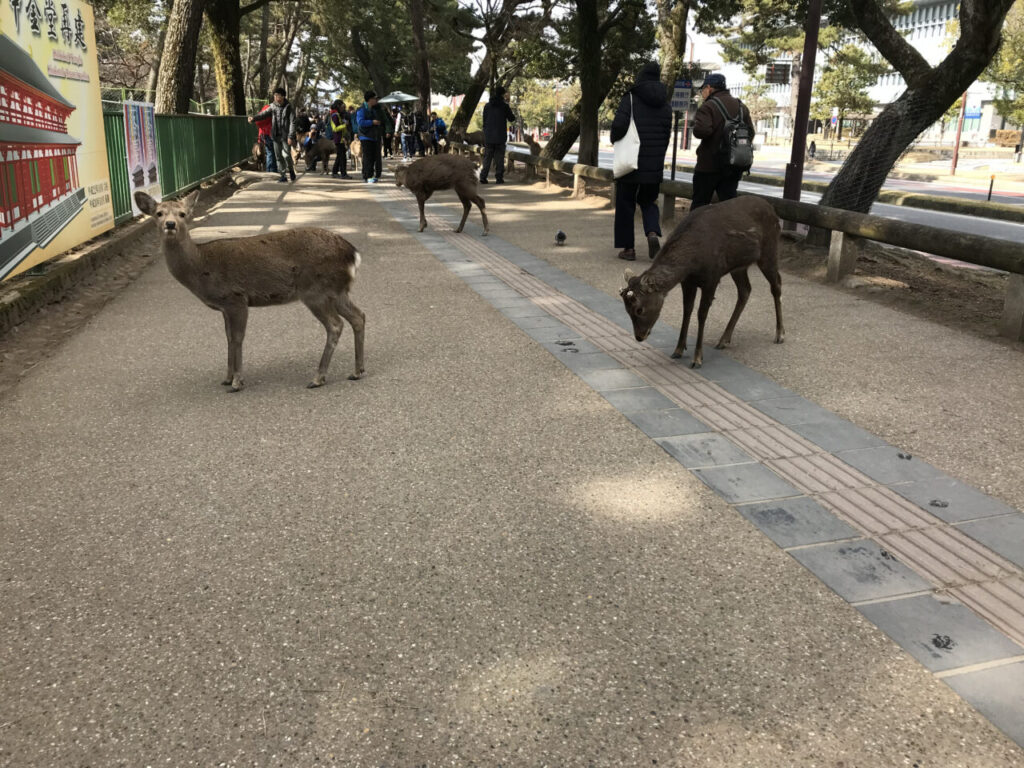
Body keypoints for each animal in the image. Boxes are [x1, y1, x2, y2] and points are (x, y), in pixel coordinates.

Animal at [134, 190, 365, 392]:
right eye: (158, 213)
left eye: (182, 213)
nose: (170, 224)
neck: (201, 266)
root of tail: (352, 254)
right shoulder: (224, 306)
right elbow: (228, 337)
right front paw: (227, 378)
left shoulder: (236, 297)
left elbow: (237, 338)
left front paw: (237, 382)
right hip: (337, 291)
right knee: (358, 316)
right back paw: (357, 371)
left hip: (315, 290)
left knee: (335, 325)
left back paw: (318, 378)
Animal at [620, 195, 784, 369]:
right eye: (626, 310)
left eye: (639, 309)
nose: (639, 336)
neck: (691, 263)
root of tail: (773, 210)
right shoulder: (687, 282)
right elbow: (687, 310)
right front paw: (678, 350)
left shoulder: (712, 278)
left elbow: (701, 314)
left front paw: (697, 358)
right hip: (738, 267)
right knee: (745, 290)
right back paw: (724, 340)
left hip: (769, 250)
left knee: (776, 284)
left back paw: (780, 334)